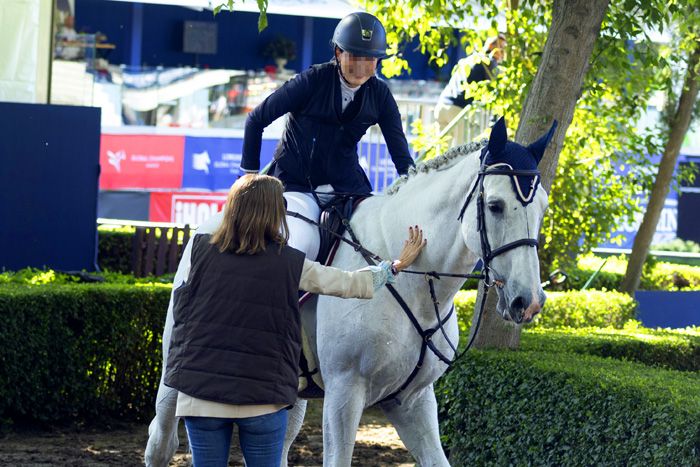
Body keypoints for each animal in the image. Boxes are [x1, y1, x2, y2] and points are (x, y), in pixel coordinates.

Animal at [145, 118, 556, 467]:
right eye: (495, 206)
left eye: (543, 208)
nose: (528, 301)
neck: (415, 287)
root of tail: (217, 221)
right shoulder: (345, 392)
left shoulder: (413, 401)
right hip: (174, 375)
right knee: (162, 440)